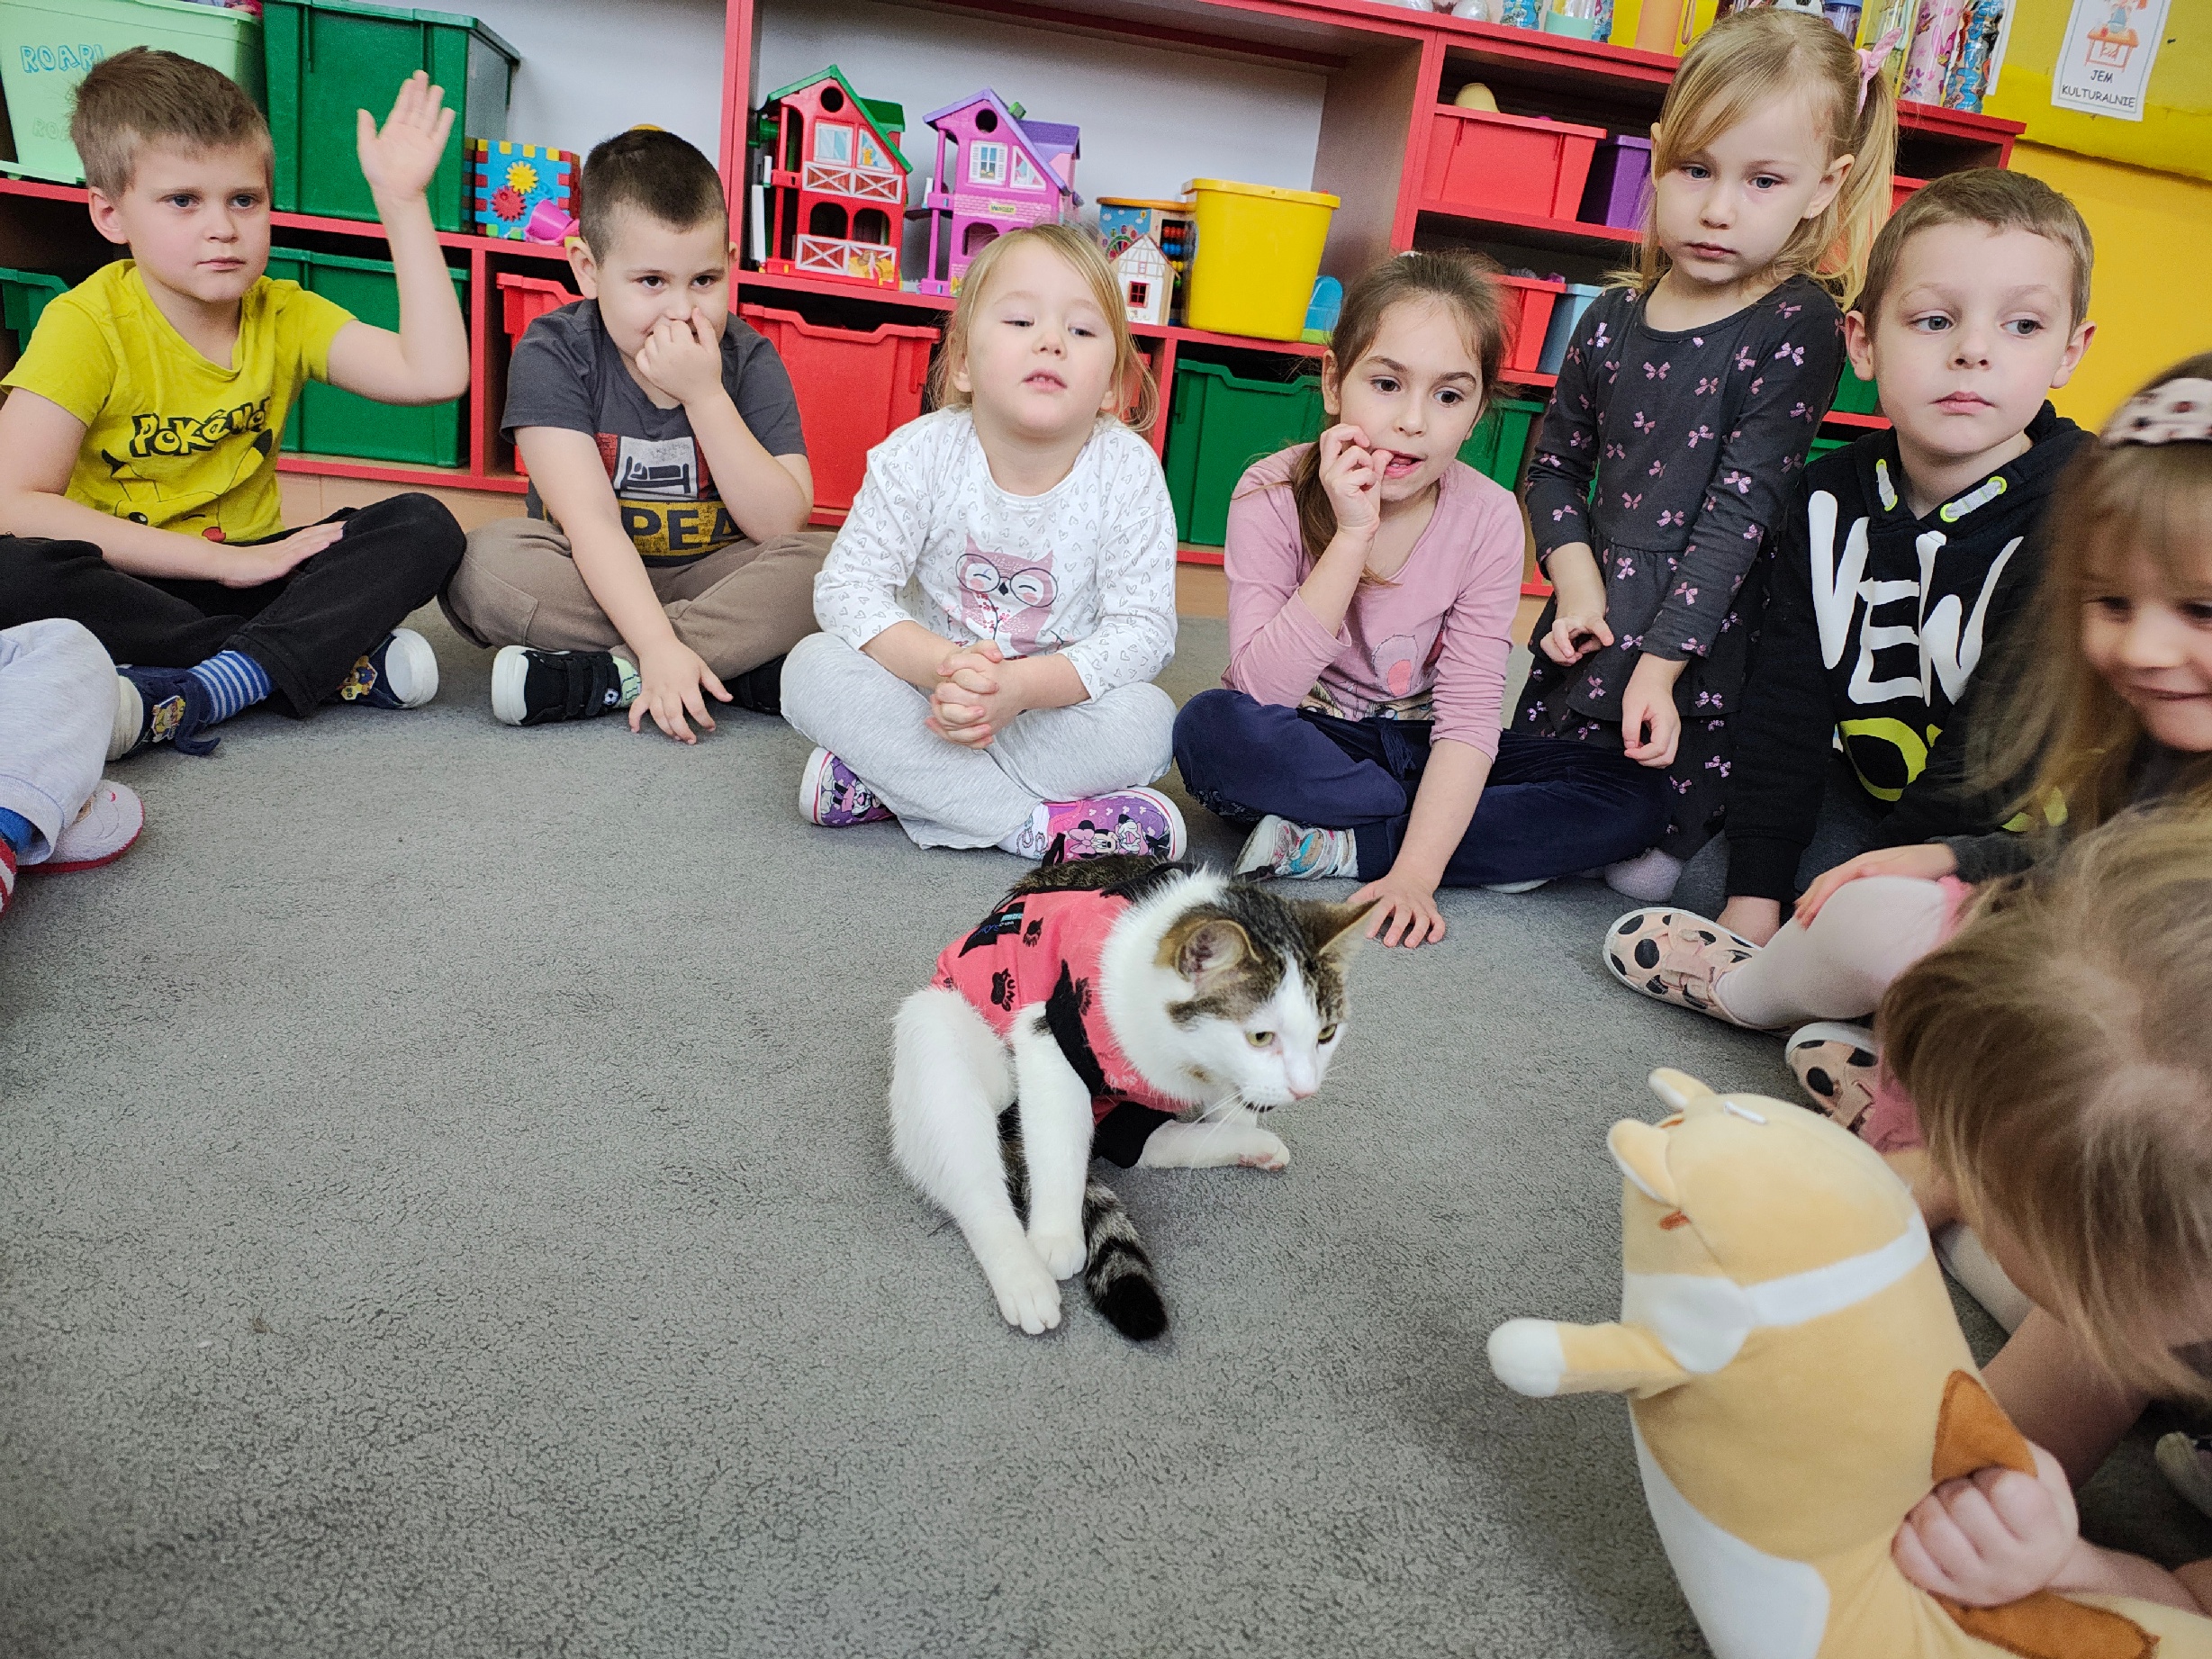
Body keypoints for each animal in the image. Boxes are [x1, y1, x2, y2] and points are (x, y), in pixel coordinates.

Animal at [890, 855, 1371, 1340]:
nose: (1305, 1088)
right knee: (975, 1178)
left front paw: (1241, 1115)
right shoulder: (1051, 1030)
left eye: (1326, 1034)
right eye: (1260, 1036)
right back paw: (1023, 1276)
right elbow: (1056, 1142)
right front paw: (1055, 1234)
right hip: (941, 1029)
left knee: (1142, 1143)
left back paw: (1250, 1145)